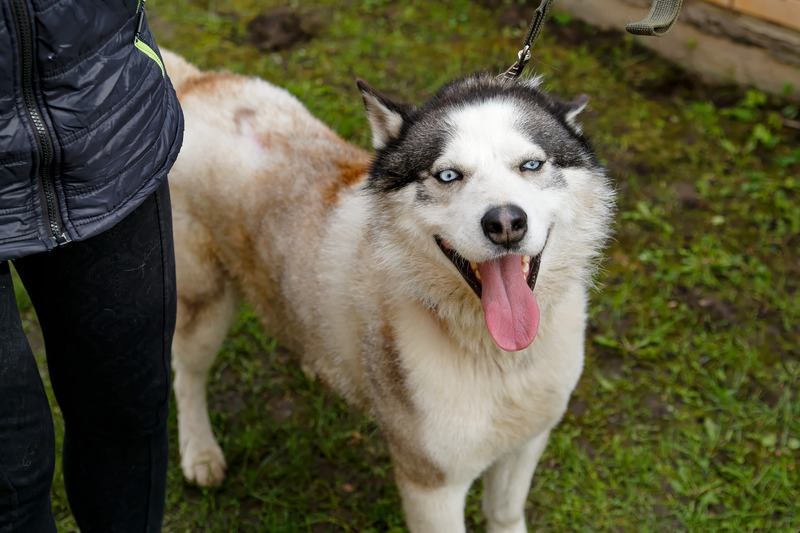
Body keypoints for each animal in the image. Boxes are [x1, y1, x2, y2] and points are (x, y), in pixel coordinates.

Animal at [162, 48, 612, 528]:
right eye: (448, 176)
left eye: (531, 165)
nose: (506, 222)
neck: (500, 360)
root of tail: (194, 83)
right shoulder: (431, 484)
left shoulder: (528, 440)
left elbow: (505, 514)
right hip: (203, 301)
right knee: (187, 372)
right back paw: (200, 453)